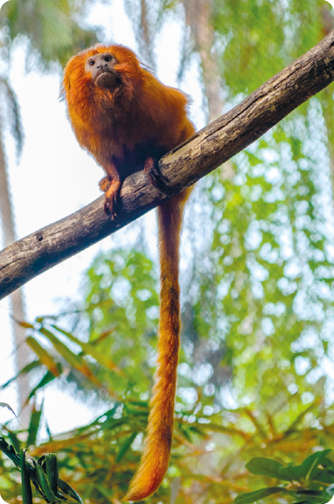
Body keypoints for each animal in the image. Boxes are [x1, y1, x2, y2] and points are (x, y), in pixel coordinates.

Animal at [62, 44, 196, 500]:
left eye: (107, 57)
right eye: (91, 63)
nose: (103, 65)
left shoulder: (165, 104)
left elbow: (177, 127)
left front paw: (153, 157)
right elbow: (113, 164)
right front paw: (116, 180)